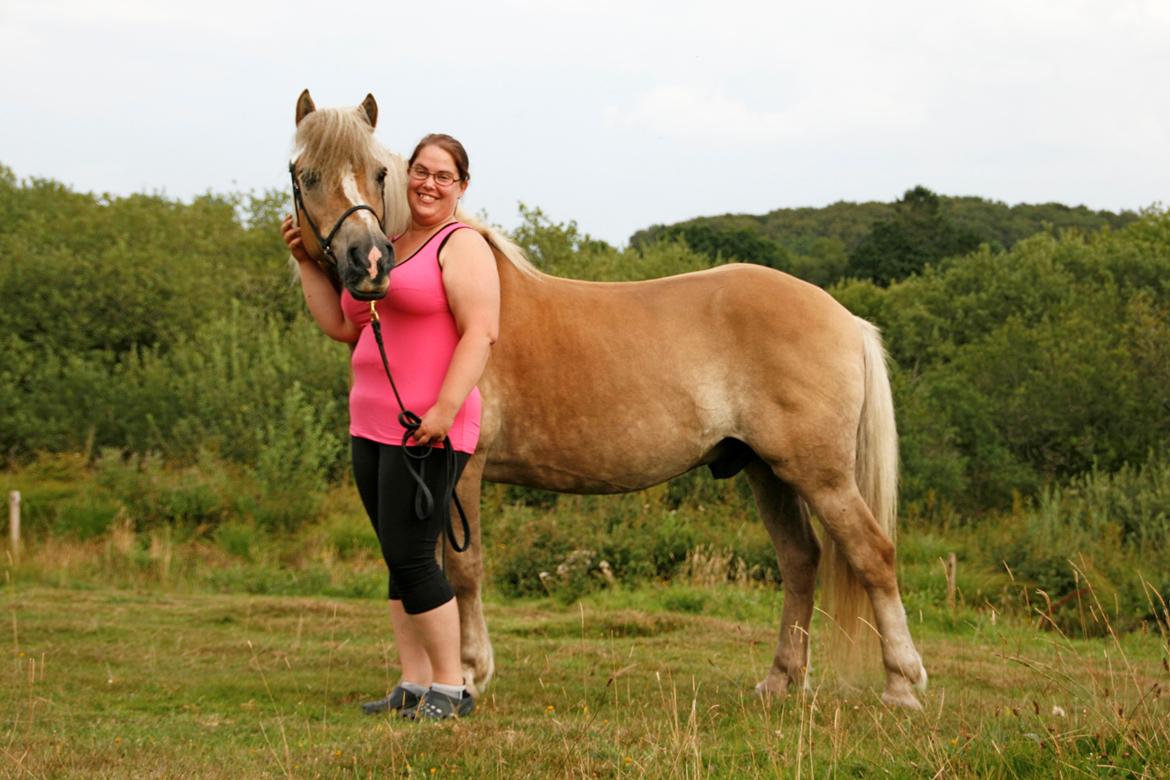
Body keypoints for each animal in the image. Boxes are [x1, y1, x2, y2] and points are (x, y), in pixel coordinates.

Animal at [287, 90, 926, 706]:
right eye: (307, 174)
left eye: (378, 173)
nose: (369, 262)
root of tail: (845, 317)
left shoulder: (458, 470)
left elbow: (463, 571)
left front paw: (468, 674)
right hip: (767, 471)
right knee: (800, 561)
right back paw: (780, 681)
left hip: (821, 475)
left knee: (873, 554)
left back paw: (901, 685)